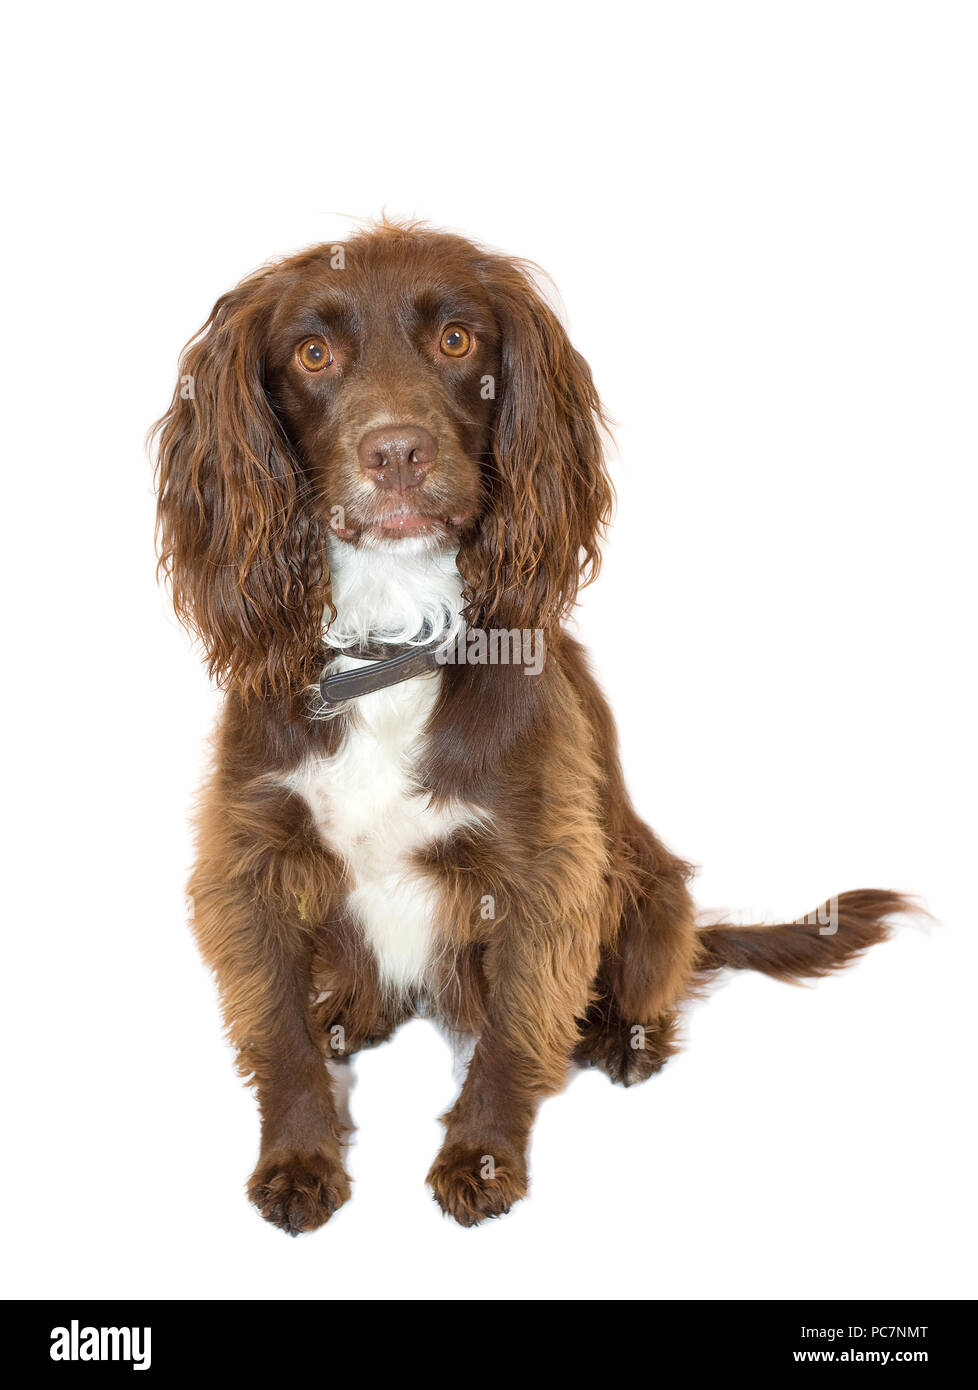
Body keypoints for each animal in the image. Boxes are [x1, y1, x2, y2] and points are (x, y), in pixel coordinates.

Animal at [152, 222, 911, 1234]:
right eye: (312, 354)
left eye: (456, 340)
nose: (397, 451)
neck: (393, 641)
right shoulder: (253, 857)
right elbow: (277, 1034)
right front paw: (300, 1158)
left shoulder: (543, 870)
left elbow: (513, 1032)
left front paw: (481, 1158)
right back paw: (352, 1009)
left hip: (646, 879)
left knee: (659, 966)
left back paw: (629, 1036)